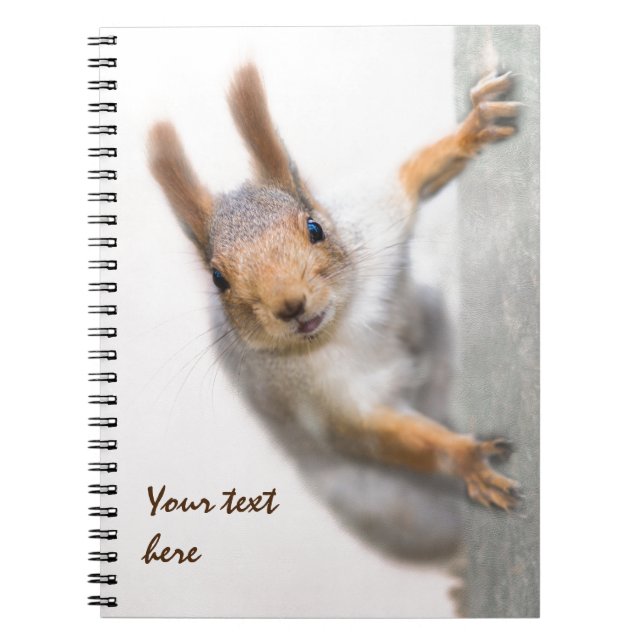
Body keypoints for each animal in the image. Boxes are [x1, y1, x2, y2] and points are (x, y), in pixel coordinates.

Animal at [149, 63, 521, 559]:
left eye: (315, 228)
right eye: (218, 279)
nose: (290, 305)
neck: (343, 323)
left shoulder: (377, 217)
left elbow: (415, 175)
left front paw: (473, 127)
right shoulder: (322, 401)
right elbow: (379, 434)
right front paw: (467, 460)